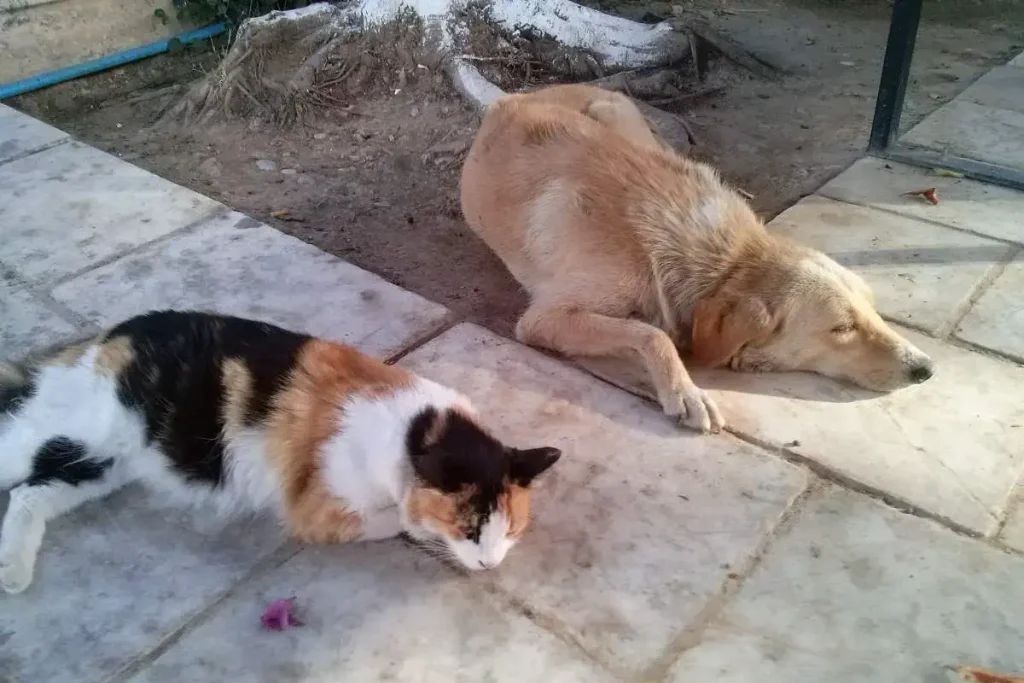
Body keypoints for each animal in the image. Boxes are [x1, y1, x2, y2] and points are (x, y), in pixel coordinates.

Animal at [0, 309, 561, 593]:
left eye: (512, 530)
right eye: (469, 529)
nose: (490, 564)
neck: (414, 430)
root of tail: (104, 337)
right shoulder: (317, 510)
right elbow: (400, 520)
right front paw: (419, 528)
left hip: (103, 461)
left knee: (31, 493)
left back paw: (12, 571)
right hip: (63, 429)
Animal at [460, 83, 933, 432]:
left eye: (873, 311)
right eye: (841, 328)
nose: (926, 369)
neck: (721, 260)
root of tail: (514, 95)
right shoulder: (544, 318)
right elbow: (653, 334)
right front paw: (684, 391)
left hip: (619, 118)